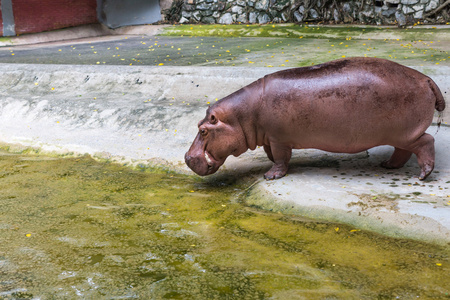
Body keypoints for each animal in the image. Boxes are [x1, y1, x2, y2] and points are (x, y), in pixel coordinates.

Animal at [185, 58, 444, 180]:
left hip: (406, 133)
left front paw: (270, 176)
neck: (241, 116)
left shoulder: (279, 139)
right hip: (400, 134)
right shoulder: (270, 137)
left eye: (203, 130)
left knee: (426, 142)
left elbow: (280, 158)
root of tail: (426, 78)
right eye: (198, 125)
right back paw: (388, 165)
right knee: (403, 151)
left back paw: (423, 175)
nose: (187, 158)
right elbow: (272, 155)